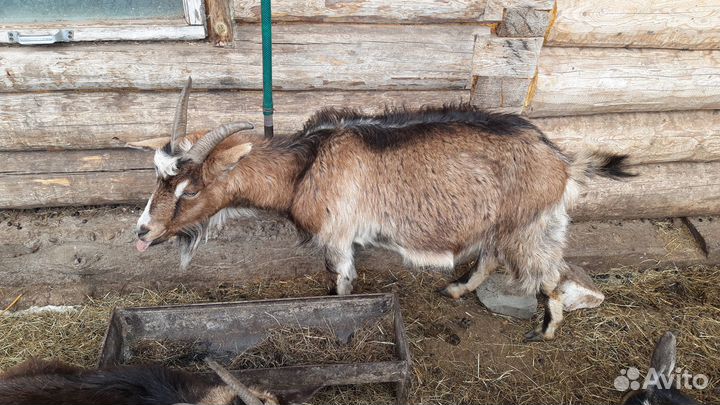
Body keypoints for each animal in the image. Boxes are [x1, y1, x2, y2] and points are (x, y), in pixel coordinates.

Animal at [130, 77, 634, 341]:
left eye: (189, 190)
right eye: (158, 178)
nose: (142, 231)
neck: (307, 164)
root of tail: (562, 160)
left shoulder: (339, 234)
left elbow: (342, 280)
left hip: (529, 224)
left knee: (549, 273)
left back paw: (546, 331)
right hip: (502, 223)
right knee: (492, 257)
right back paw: (457, 290)